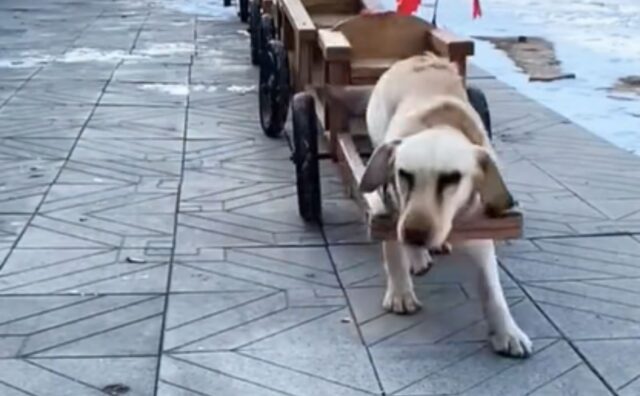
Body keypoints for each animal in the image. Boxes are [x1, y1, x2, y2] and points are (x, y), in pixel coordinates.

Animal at [328, 53, 532, 358]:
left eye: (452, 178)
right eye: (404, 174)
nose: (415, 234)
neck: (440, 124)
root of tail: (418, 57)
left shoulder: (478, 225)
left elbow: (491, 287)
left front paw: (507, 331)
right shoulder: (392, 204)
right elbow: (392, 247)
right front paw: (401, 291)